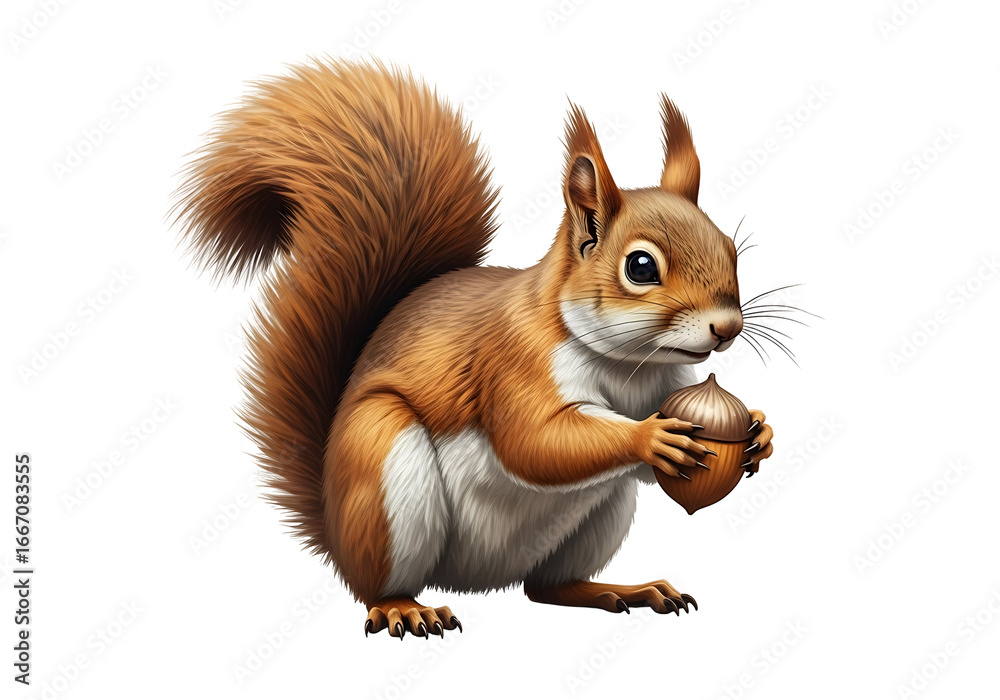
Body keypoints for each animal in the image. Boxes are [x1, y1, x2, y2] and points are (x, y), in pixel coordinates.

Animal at [174, 59, 774, 639]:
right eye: (641, 266)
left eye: (730, 248)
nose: (727, 327)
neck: (628, 364)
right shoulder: (513, 361)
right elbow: (534, 441)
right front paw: (650, 437)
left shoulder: (665, 390)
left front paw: (759, 434)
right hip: (383, 463)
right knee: (378, 587)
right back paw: (403, 608)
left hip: (603, 514)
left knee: (547, 587)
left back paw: (619, 590)